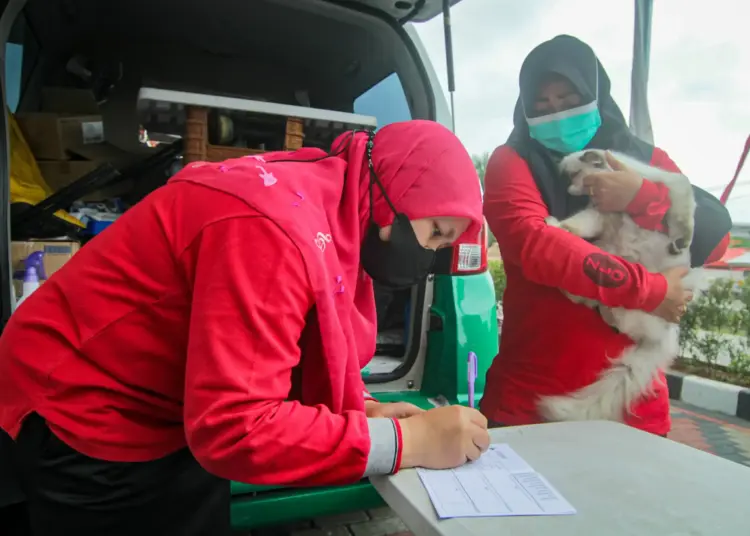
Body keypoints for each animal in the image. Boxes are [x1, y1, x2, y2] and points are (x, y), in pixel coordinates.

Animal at [540, 150, 700, 422]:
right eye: (567, 178)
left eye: (574, 175)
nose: (570, 189)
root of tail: (667, 336)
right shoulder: (596, 216)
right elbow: (574, 225)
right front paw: (555, 224)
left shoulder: (670, 184)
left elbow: (683, 203)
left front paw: (681, 240)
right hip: (605, 255)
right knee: (593, 298)